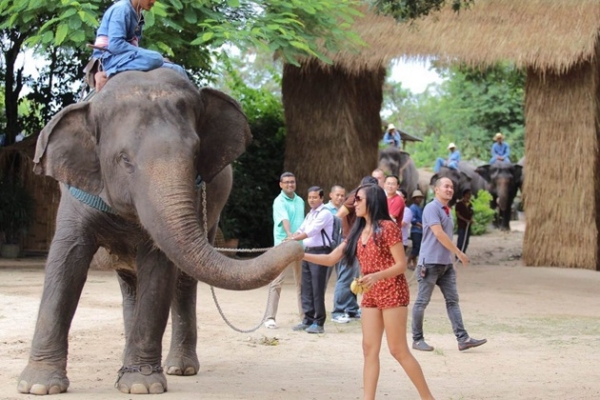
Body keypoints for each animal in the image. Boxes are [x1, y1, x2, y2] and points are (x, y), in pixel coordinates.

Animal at [17, 69, 303, 396]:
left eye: (195, 153)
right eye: (124, 159)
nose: (299, 243)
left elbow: (158, 270)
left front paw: (143, 386)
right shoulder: (75, 195)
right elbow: (66, 262)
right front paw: (37, 387)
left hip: (212, 216)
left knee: (183, 282)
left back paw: (179, 368)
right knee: (131, 285)